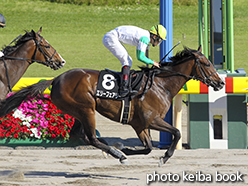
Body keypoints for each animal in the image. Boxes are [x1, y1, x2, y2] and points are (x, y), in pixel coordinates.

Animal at [0, 45, 225, 165]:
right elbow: (176, 133)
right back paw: (115, 152)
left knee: (80, 135)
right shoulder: (151, 120)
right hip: (86, 108)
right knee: (90, 137)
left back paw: (113, 149)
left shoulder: (140, 124)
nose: (221, 83)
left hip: (79, 112)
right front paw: (162, 157)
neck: (161, 85)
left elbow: (148, 148)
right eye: (206, 63)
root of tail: (56, 79)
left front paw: (124, 148)